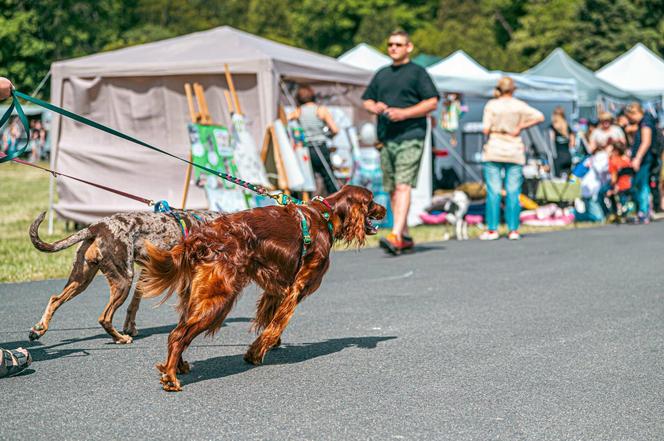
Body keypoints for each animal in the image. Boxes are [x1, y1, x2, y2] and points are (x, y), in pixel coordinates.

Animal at [28, 210, 217, 344]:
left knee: (55, 299)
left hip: (81, 280)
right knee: (104, 318)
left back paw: (39, 329)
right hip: (123, 281)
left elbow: (134, 304)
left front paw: (130, 327)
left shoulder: (146, 273)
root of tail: (95, 227)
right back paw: (120, 338)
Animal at [139, 184, 384, 390]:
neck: (326, 216)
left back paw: (176, 367)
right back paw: (171, 378)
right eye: (371, 201)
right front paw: (256, 353)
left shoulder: (276, 288)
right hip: (219, 297)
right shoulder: (298, 286)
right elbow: (277, 324)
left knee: (180, 329)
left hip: (198, 295)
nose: (383, 209)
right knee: (178, 335)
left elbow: (272, 320)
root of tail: (201, 237)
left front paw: (268, 345)